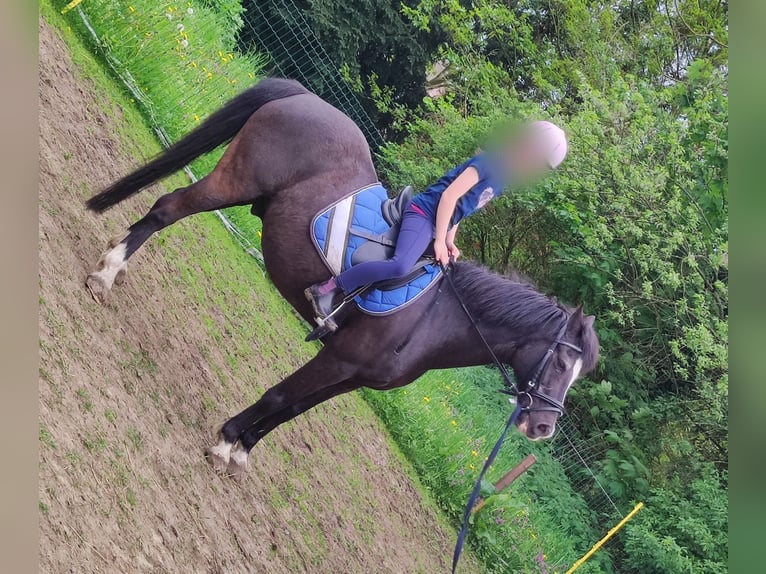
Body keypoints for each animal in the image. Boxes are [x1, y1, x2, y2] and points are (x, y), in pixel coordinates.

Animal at [85, 79, 600, 480]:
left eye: (579, 372)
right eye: (561, 362)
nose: (543, 429)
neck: (435, 319)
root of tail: (304, 96)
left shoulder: (354, 377)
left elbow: (292, 410)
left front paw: (241, 450)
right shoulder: (336, 358)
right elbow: (280, 394)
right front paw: (226, 442)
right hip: (233, 183)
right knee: (167, 209)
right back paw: (107, 273)